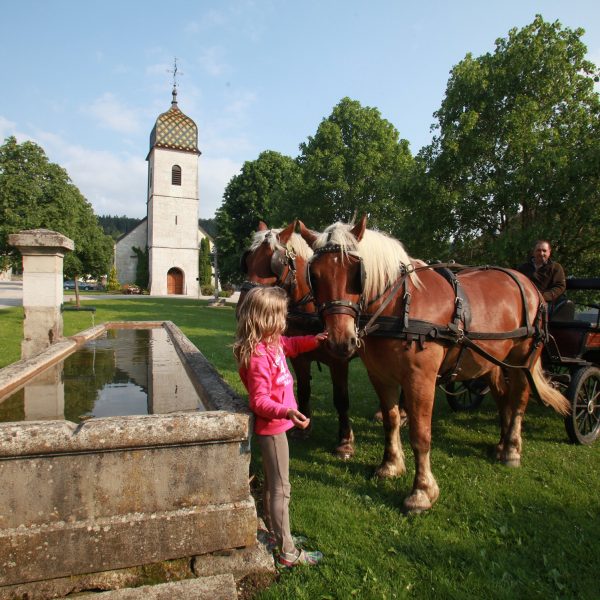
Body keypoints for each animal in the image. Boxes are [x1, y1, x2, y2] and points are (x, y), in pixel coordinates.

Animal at [302, 213, 568, 512]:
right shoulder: (380, 376)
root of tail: (529, 284)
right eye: (315, 276)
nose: (340, 341)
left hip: (522, 359)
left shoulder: (421, 379)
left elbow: (420, 434)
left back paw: (511, 449)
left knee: (519, 398)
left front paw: (421, 492)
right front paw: (390, 466)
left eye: (356, 273)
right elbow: (391, 420)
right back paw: (501, 445)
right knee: (503, 398)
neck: (399, 306)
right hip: (492, 362)